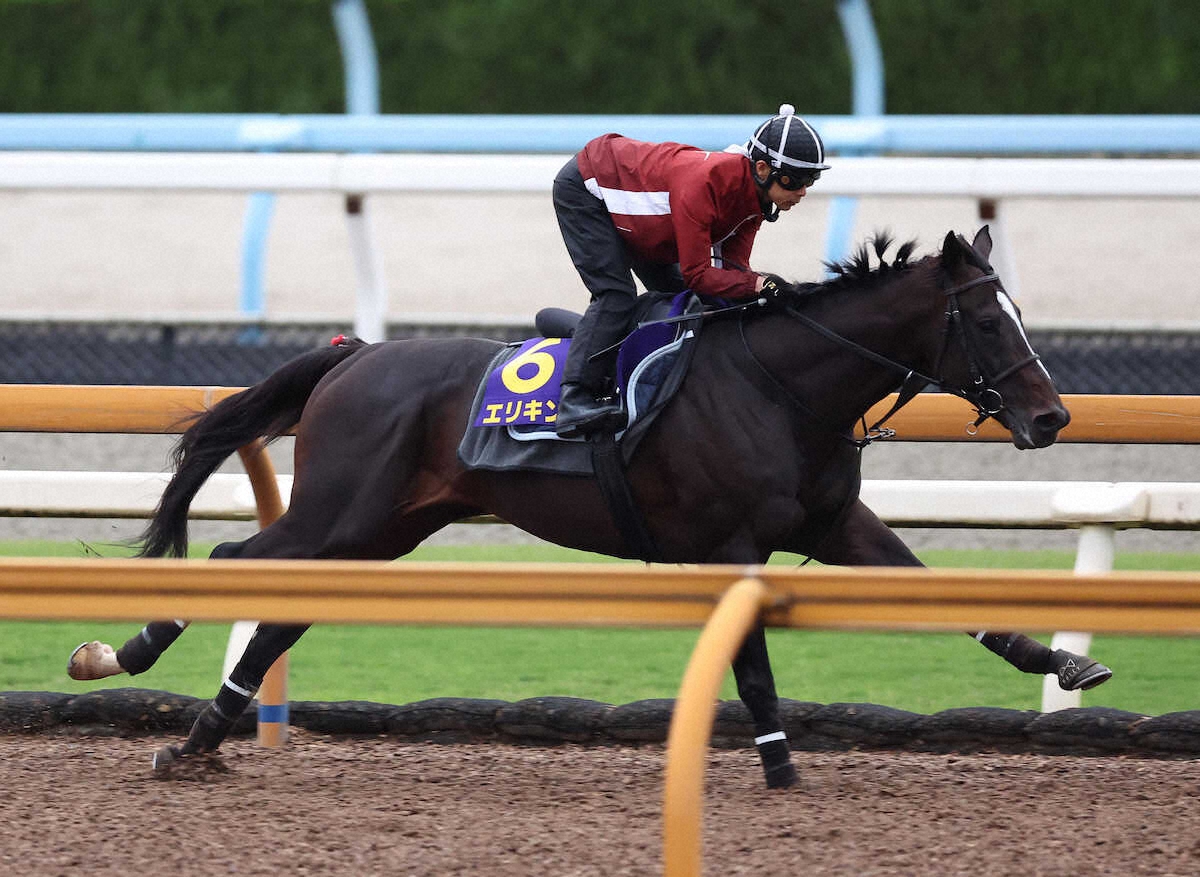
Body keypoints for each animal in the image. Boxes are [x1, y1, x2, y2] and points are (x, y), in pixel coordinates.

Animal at [70, 226, 1111, 787]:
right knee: (231, 562)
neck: (781, 384)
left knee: (282, 611)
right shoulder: (729, 545)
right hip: (342, 512)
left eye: (1018, 313)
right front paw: (780, 763)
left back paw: (202, 736)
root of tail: (353, 355)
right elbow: (752, 666)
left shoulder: (830, 524)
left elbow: (938, 591)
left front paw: (1061, 660)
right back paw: (123, 657)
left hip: (383, 526)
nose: (1053, 415)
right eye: (988, 320)